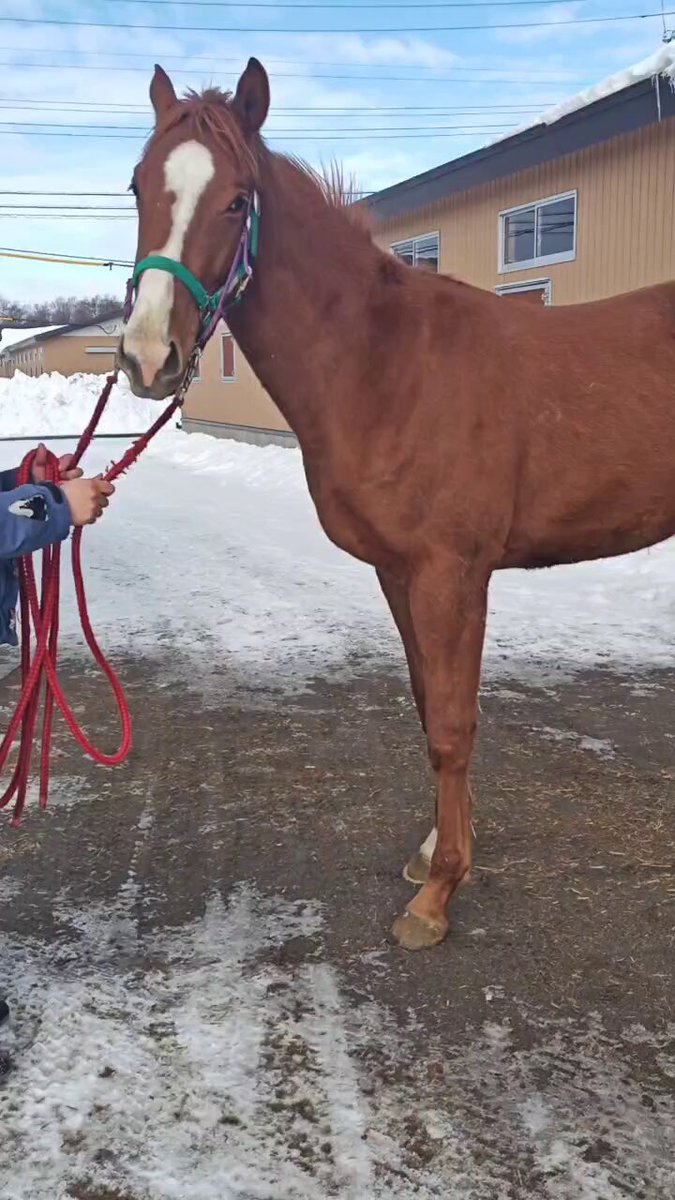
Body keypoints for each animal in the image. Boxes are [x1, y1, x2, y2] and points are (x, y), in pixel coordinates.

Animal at [119, 58, 675, 952]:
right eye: (138, 186)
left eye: (237, 200)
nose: (146, 358)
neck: (387, 366)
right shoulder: (398, 573)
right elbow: (427, 706)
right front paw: (436, 855)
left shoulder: (452, 574)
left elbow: (451, 723)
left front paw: (438, 895)